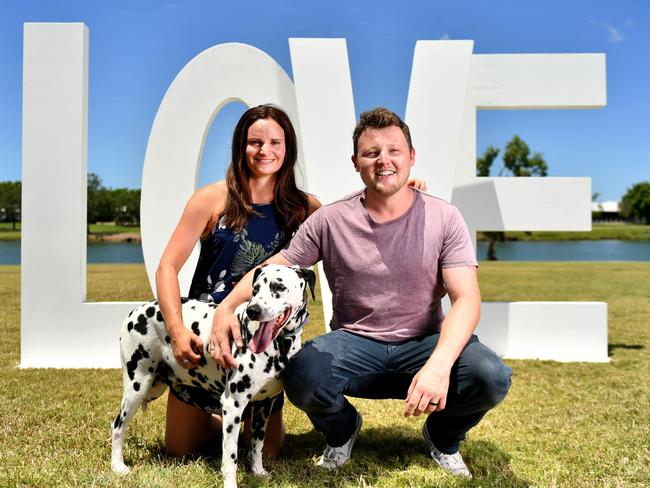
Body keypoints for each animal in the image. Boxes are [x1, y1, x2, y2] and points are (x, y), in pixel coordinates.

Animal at [112, 264, 316, 486]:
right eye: (255, 289)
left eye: (278, 286)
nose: (253, 310)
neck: (278, 345)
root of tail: (135, 311)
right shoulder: (232, 406)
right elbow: (230, 459)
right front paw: (230, 484)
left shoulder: (264, 405)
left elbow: (257, 444)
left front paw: (258, 471)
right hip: (137, 386)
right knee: (117, 426)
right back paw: (117, 466)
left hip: (153, 386)